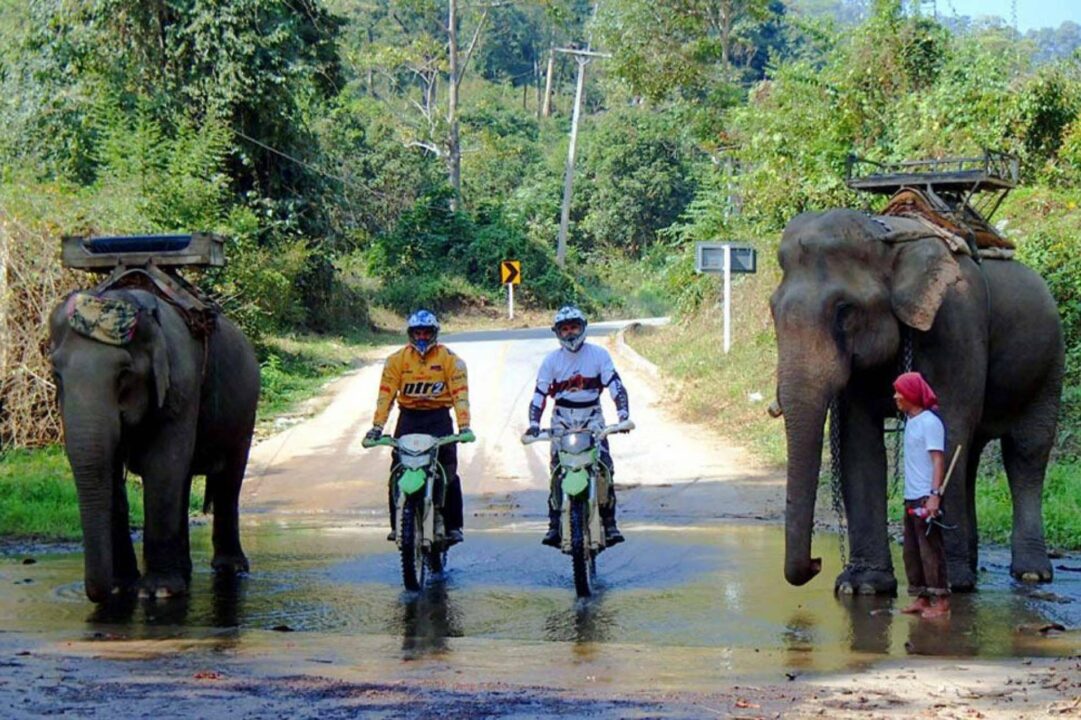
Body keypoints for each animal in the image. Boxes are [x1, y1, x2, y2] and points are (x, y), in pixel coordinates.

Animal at [51, 285, 261, 601]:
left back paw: (230, 568)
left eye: (124, 375)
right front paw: (121, 585)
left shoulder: (181, 384)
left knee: (229, 478)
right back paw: (185, 571)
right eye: (56, 375)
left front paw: (157, 592)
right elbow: (112, 470)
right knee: (184, 481)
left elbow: (163, 466)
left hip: (245, 408)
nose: (98, 593)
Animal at [769, 208, 1063, 592]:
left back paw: (1029, 573)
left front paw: (950, 583)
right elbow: (859, 443)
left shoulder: (955, 326)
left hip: (1050, 363)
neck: (889, 238)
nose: (817, 563)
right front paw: (862, 586)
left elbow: (948, 427)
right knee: (971, 453)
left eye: (844, 310)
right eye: (773, 311)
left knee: (1027, 451)